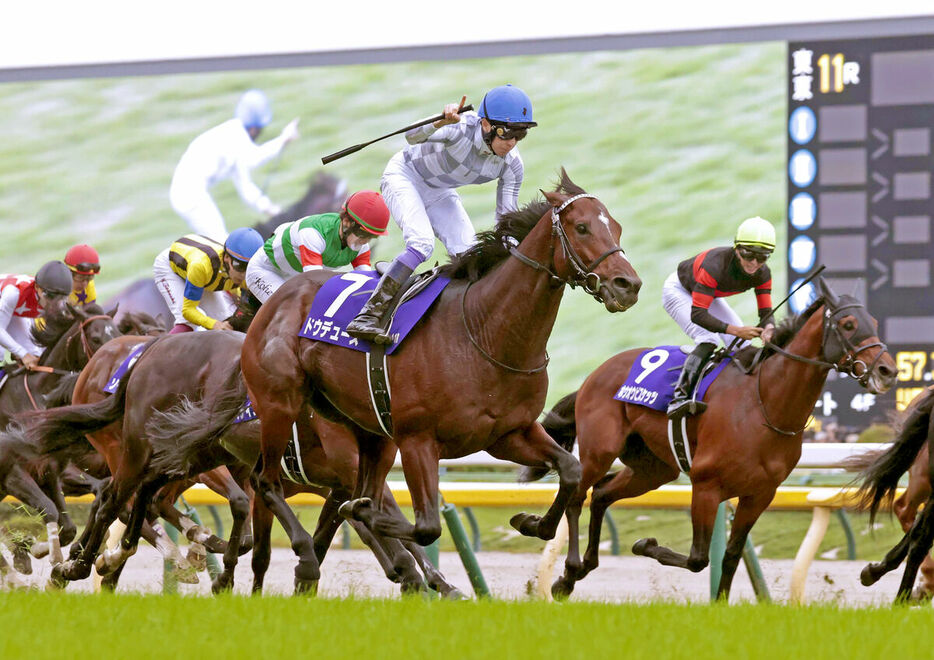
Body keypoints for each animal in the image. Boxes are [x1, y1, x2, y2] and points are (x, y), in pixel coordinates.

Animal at [233, 169, 644, 588]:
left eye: (617, 227)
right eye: (582, 227)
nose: (628, 285)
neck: (484, 332)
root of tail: (275, 299)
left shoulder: (508, 434)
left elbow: (571, 470)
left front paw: (530, 521)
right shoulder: (418, 440)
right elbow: (426, 526)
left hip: (370, 432)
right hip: (280, 403)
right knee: (265, 482)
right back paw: (304, 554)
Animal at [528, 276, 900, 600]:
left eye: (874, 322)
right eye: (848, 324)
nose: (888, 370)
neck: (764, 405)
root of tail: (595, 374)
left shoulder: (759, 495)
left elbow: (731, 556)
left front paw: (720, 603)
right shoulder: (706, 486)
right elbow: (698, 558)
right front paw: (645, 545)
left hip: (654, 468)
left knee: (603, 494)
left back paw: (579, 568)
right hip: (600, 449)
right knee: (578, 495)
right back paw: (561, 561)